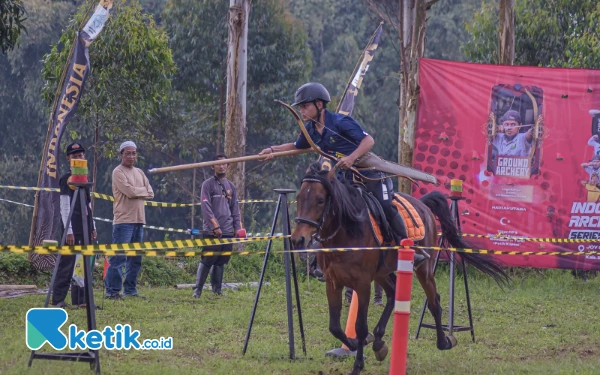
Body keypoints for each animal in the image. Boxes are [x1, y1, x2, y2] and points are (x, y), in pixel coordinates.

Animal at [290, 164, 506, 375]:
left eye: (320, 200)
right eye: (298, 198)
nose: (299, 239)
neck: (347, 230)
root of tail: (423, 205)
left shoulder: (362, 284)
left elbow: (360, 326)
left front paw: (358, 364)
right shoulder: (333, 282)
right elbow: (334, 326)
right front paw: (355, 344)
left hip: (424, 270)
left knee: (434, 302)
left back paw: (443, 341)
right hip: (383, 272)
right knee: (393, 293)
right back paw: (379, 342)